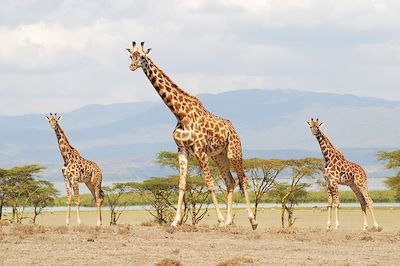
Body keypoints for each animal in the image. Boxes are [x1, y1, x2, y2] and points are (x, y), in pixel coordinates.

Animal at [126, 41, 258, 229]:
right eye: (131, 56)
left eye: (143, 56)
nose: (132, 66)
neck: (180, 114)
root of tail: (233, 128)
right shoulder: (182, 150)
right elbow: (182, 184)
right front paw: (175, 221)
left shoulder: (200, 150)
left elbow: (209, 183)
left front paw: (218, 219)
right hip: (219, 156)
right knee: (230, 182)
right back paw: (228, 221)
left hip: (234, 151)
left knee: (243, 179)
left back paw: (252, 221)